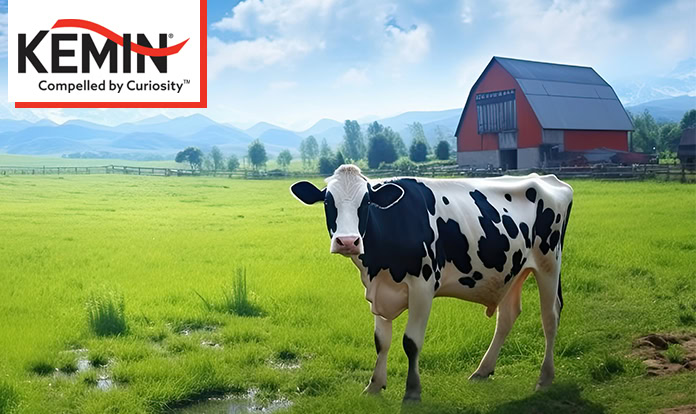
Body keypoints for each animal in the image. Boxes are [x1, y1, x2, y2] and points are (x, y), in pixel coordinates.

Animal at [290, 165, 573, 402]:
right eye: (328, 201)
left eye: (367, 201)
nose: (347, 241)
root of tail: (548, 179)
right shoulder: (378, 289)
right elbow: (381, 341)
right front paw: (374, 386)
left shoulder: (422, 287)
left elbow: (411, 342)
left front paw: (412, 391)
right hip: (511, 270)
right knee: (507, 316)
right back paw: (483, 370)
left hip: (549, 262)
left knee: (550, 316)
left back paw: (545, 378)